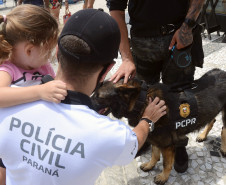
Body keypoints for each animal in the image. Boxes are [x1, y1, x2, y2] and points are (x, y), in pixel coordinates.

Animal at [91, 68, 226, 184]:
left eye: (99, 97)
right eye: (94, 94)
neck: (141, 101)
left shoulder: (166, 144)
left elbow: (166, 163)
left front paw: (163, 177)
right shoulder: (154, 138)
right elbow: (154, 154)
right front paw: (150, 165)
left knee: (223, 130)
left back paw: (223, 149)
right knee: (212, 120)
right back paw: (203, 135)